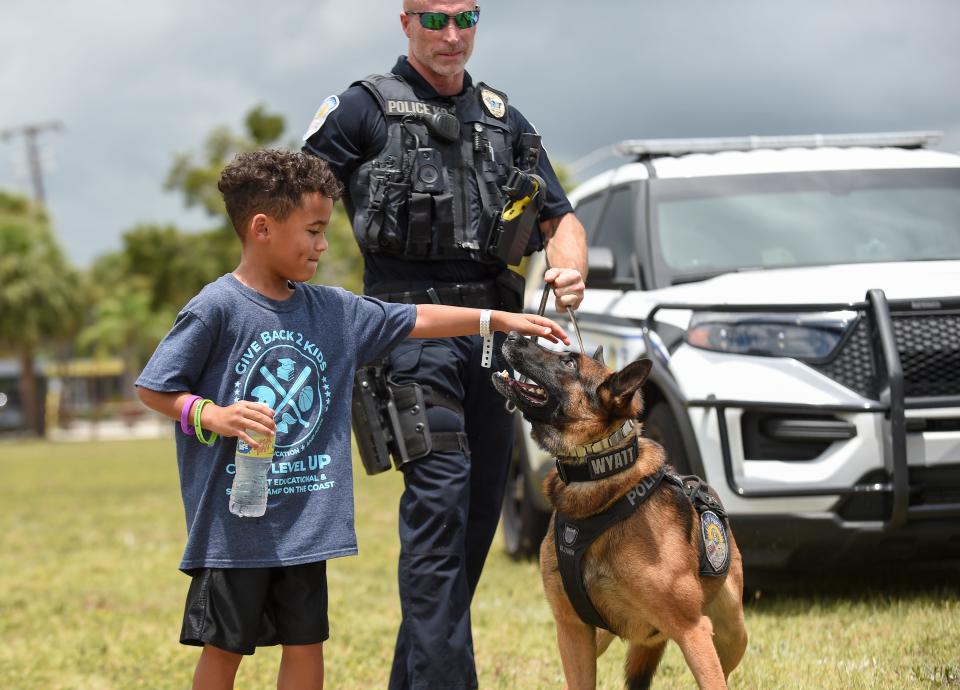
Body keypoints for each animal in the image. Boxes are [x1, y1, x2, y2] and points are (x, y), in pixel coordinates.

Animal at [492, 330, 748, 684]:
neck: (598, 473)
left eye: (569, 362)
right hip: (599, 636)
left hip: (732, 635)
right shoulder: (572, 630)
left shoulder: (693, 630)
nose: (514, 334)